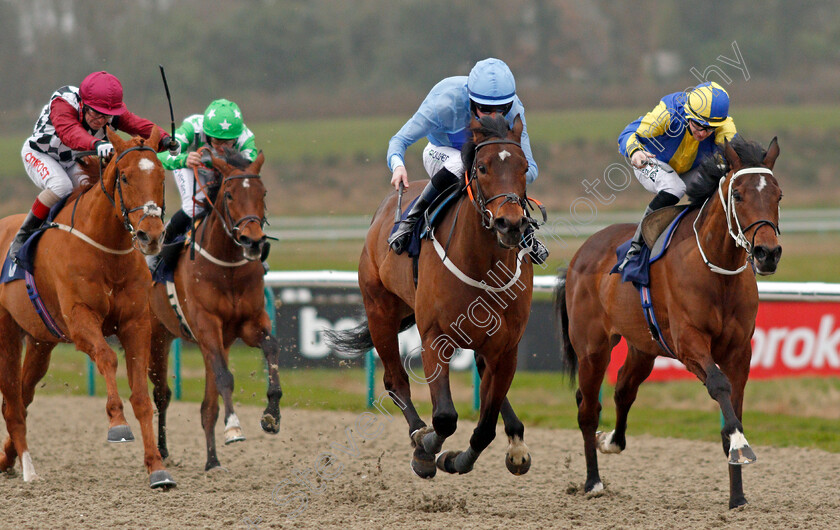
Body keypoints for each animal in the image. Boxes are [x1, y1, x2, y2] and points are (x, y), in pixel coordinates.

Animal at [0, 128, 175, 486]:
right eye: (125, 176)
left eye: (162, 177)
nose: (150, 236)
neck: (106, 249)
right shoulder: (81, 321)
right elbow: (106, 358)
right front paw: (118, 424)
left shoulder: (136, 324)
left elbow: (141, 395)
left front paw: (157, 467)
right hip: (6, 332)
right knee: (11, 402)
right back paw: (28, 469)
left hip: (40, 341)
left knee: (22, 396)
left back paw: (8, 458)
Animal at [149, 148, 284, 470]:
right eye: (230, 194)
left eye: (263, 192)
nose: (252, 240)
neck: (227, 269)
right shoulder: (206, 324)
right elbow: (226, 378)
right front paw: (234, 427)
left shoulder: (248, 323)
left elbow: (271, 348)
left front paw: (271, 414)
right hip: (154, 333)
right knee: (161, 394)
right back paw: (162, 451)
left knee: (206, 406)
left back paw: (212, 461)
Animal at [556, 137, 784, 508]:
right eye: (738, 195)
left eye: (778, 195)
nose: (767, 253)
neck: (717, 270)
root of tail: (580, 253)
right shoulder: (688, 341)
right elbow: (719, 386)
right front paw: (741, 446)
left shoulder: (739, 350)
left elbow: (732, 407)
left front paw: (737, 496)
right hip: (592, 349)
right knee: (588, 407)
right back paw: (593, 481)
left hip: (642, 348)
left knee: (624, 390)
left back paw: (611, 441)